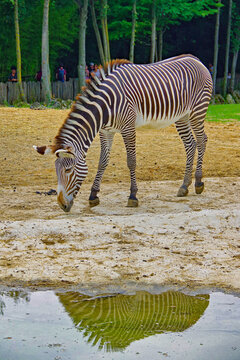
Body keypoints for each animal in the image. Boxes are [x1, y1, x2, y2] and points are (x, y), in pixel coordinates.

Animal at [33, 53, 212, 211]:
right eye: (56, 171)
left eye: (68, 170)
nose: (62, 205)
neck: (104, 108)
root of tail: (195, 59)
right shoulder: (106, 131)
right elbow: (103, 161)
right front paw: (93, 195)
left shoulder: (128, 128)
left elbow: (131, 161)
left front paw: (133, 196)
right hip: (182, 116)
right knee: (190, 145)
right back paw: (184, 186)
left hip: (197, 111)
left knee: (202, 140)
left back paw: (198, 183)